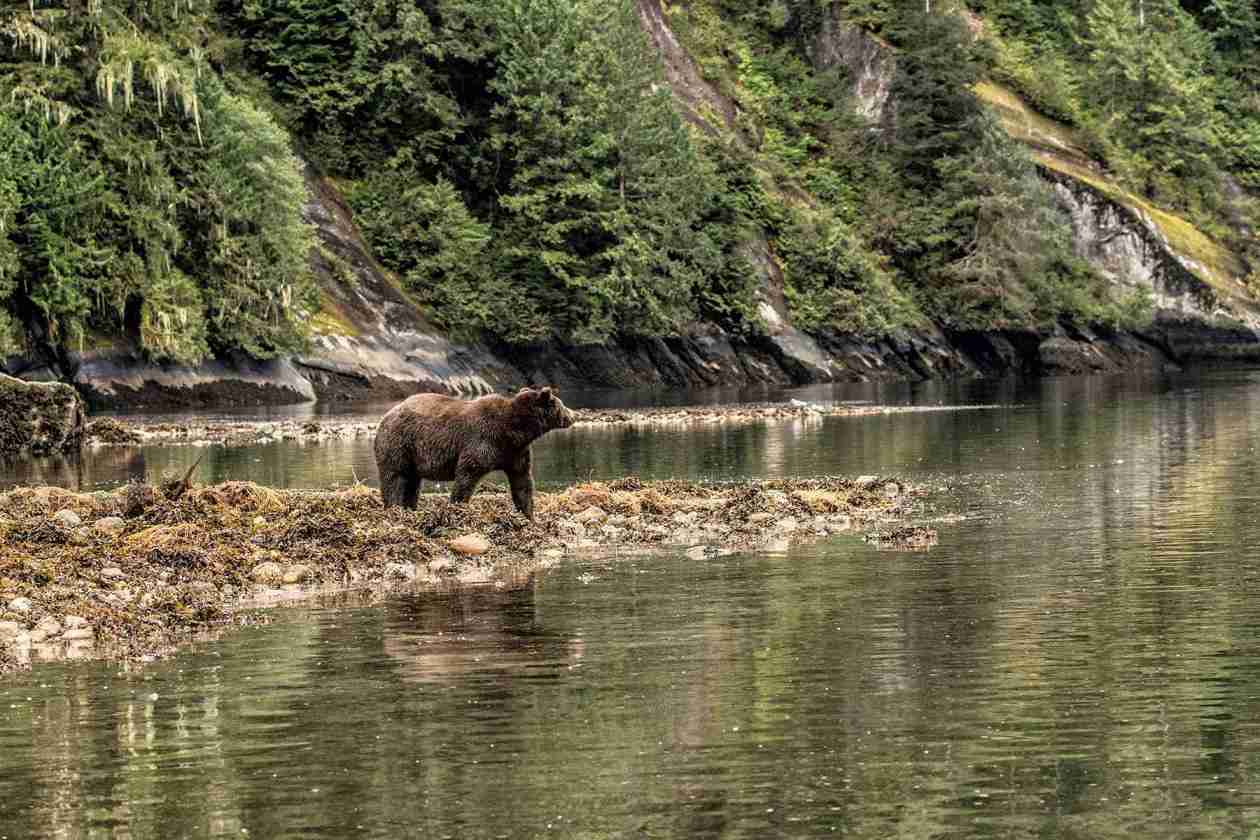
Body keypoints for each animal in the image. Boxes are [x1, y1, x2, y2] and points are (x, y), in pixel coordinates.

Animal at [370, 387, 574, 518]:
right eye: (562, 404)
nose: (574, 416)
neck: (513, 430)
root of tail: (385, 416)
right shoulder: (482, 440)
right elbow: (467, 474)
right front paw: (457, 507)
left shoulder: (515, 452)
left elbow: (522, 482)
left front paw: (528, 515)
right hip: (399, 442)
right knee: (395, 477)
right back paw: (394, 507)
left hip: (412, 454)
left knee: (412, 482)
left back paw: (410, 508)